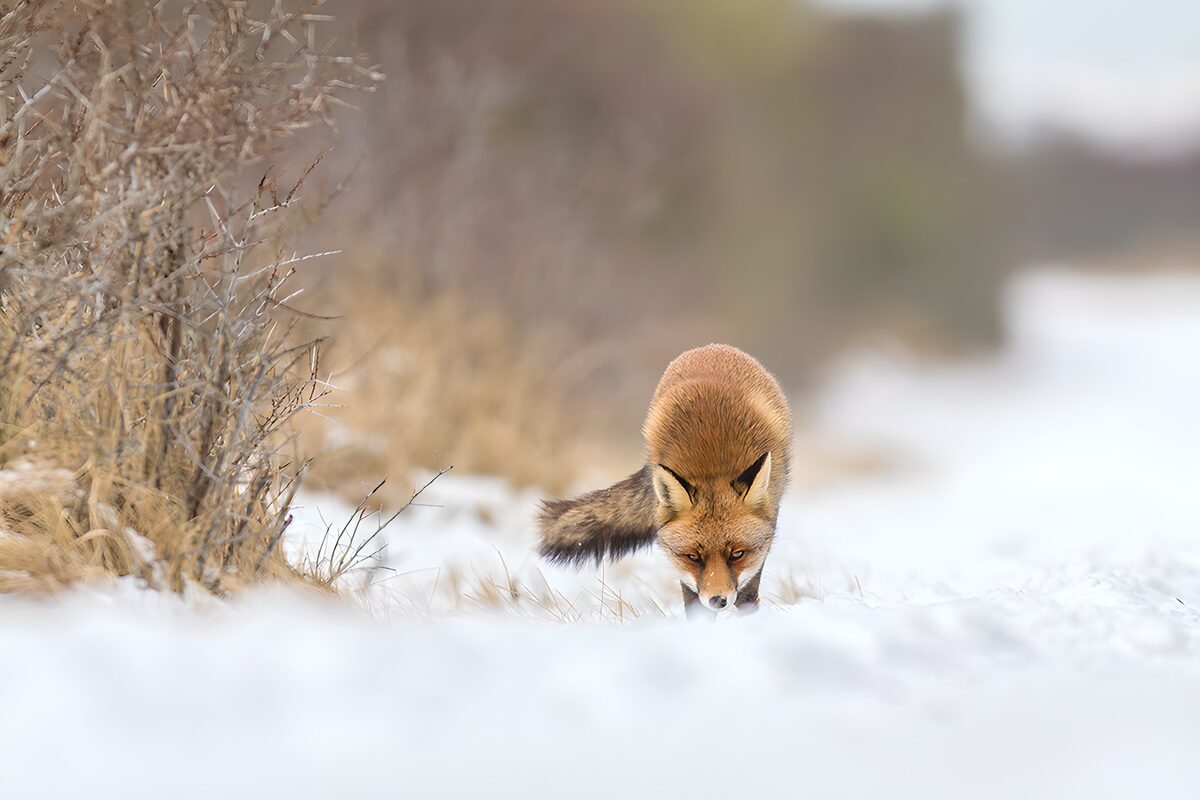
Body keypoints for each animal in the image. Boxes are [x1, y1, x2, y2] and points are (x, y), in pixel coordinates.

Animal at [537, 343, 792, 617]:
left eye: (737, 554)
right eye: (692, 557)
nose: (718, 600)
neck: (711, 468)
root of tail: (711, 347)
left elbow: (748, 591)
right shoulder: (683, 566)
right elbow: (693, 601)